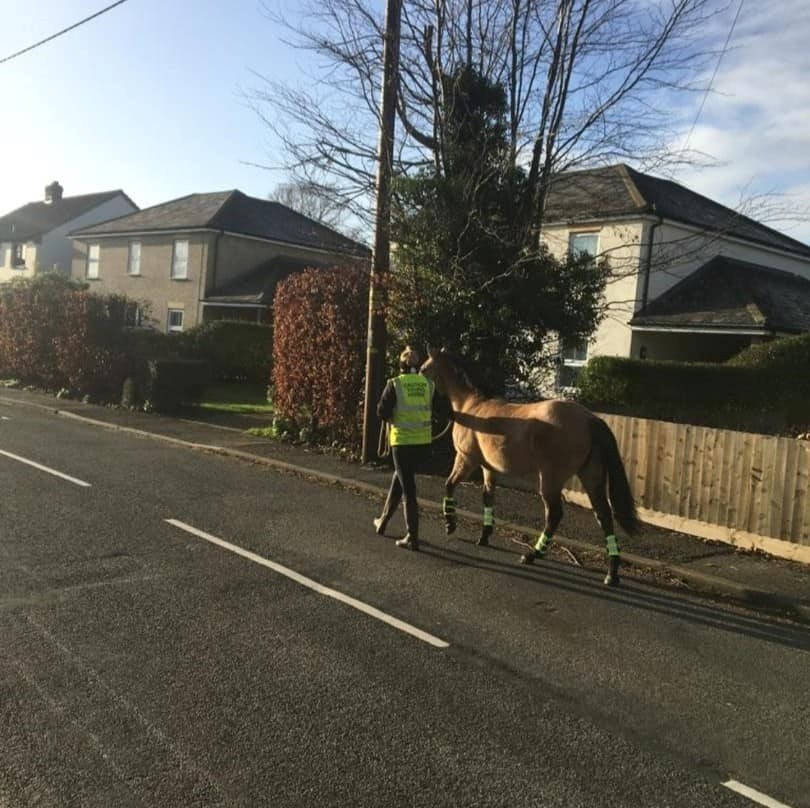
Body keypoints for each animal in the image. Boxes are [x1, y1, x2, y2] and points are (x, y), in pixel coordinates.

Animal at [416, 348, 636, 588]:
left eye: (424, 369)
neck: (471, 406)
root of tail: (589, 418)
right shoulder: (488, 468)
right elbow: (487, 497)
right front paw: (484, 536)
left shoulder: (466, 460)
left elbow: (449, 485)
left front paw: (450, 524)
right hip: (591, 477)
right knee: (604, 516)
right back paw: (612, 573)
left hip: (550, 479)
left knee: (555, 515)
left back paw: (532, 554)